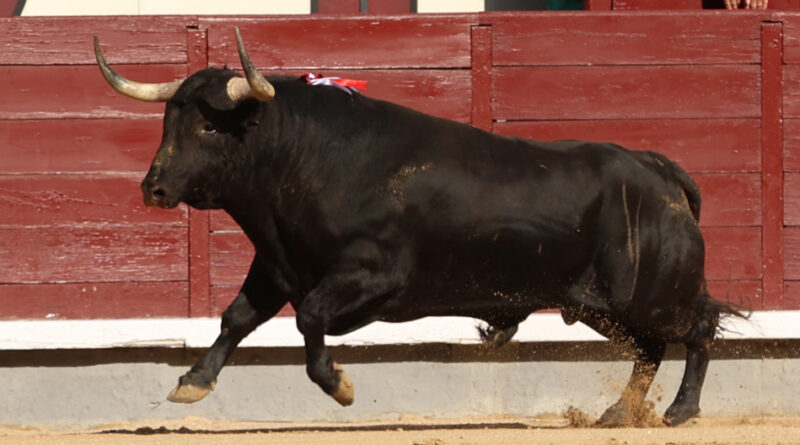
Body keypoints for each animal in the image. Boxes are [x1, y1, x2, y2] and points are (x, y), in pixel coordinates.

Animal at [95, 29, 744, 424]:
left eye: (208, 127)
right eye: (167, 121)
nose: (154, 188)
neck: (302, 158)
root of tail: (657, 169)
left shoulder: (373, 278)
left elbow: (309, 320)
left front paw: (340, 385)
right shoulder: (277, 266)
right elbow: (236, 318)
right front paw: (192, 381)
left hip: (650, 294)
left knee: (698, 327)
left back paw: (679, 412)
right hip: (598, 304)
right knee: (651, 347)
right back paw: (619, 414)